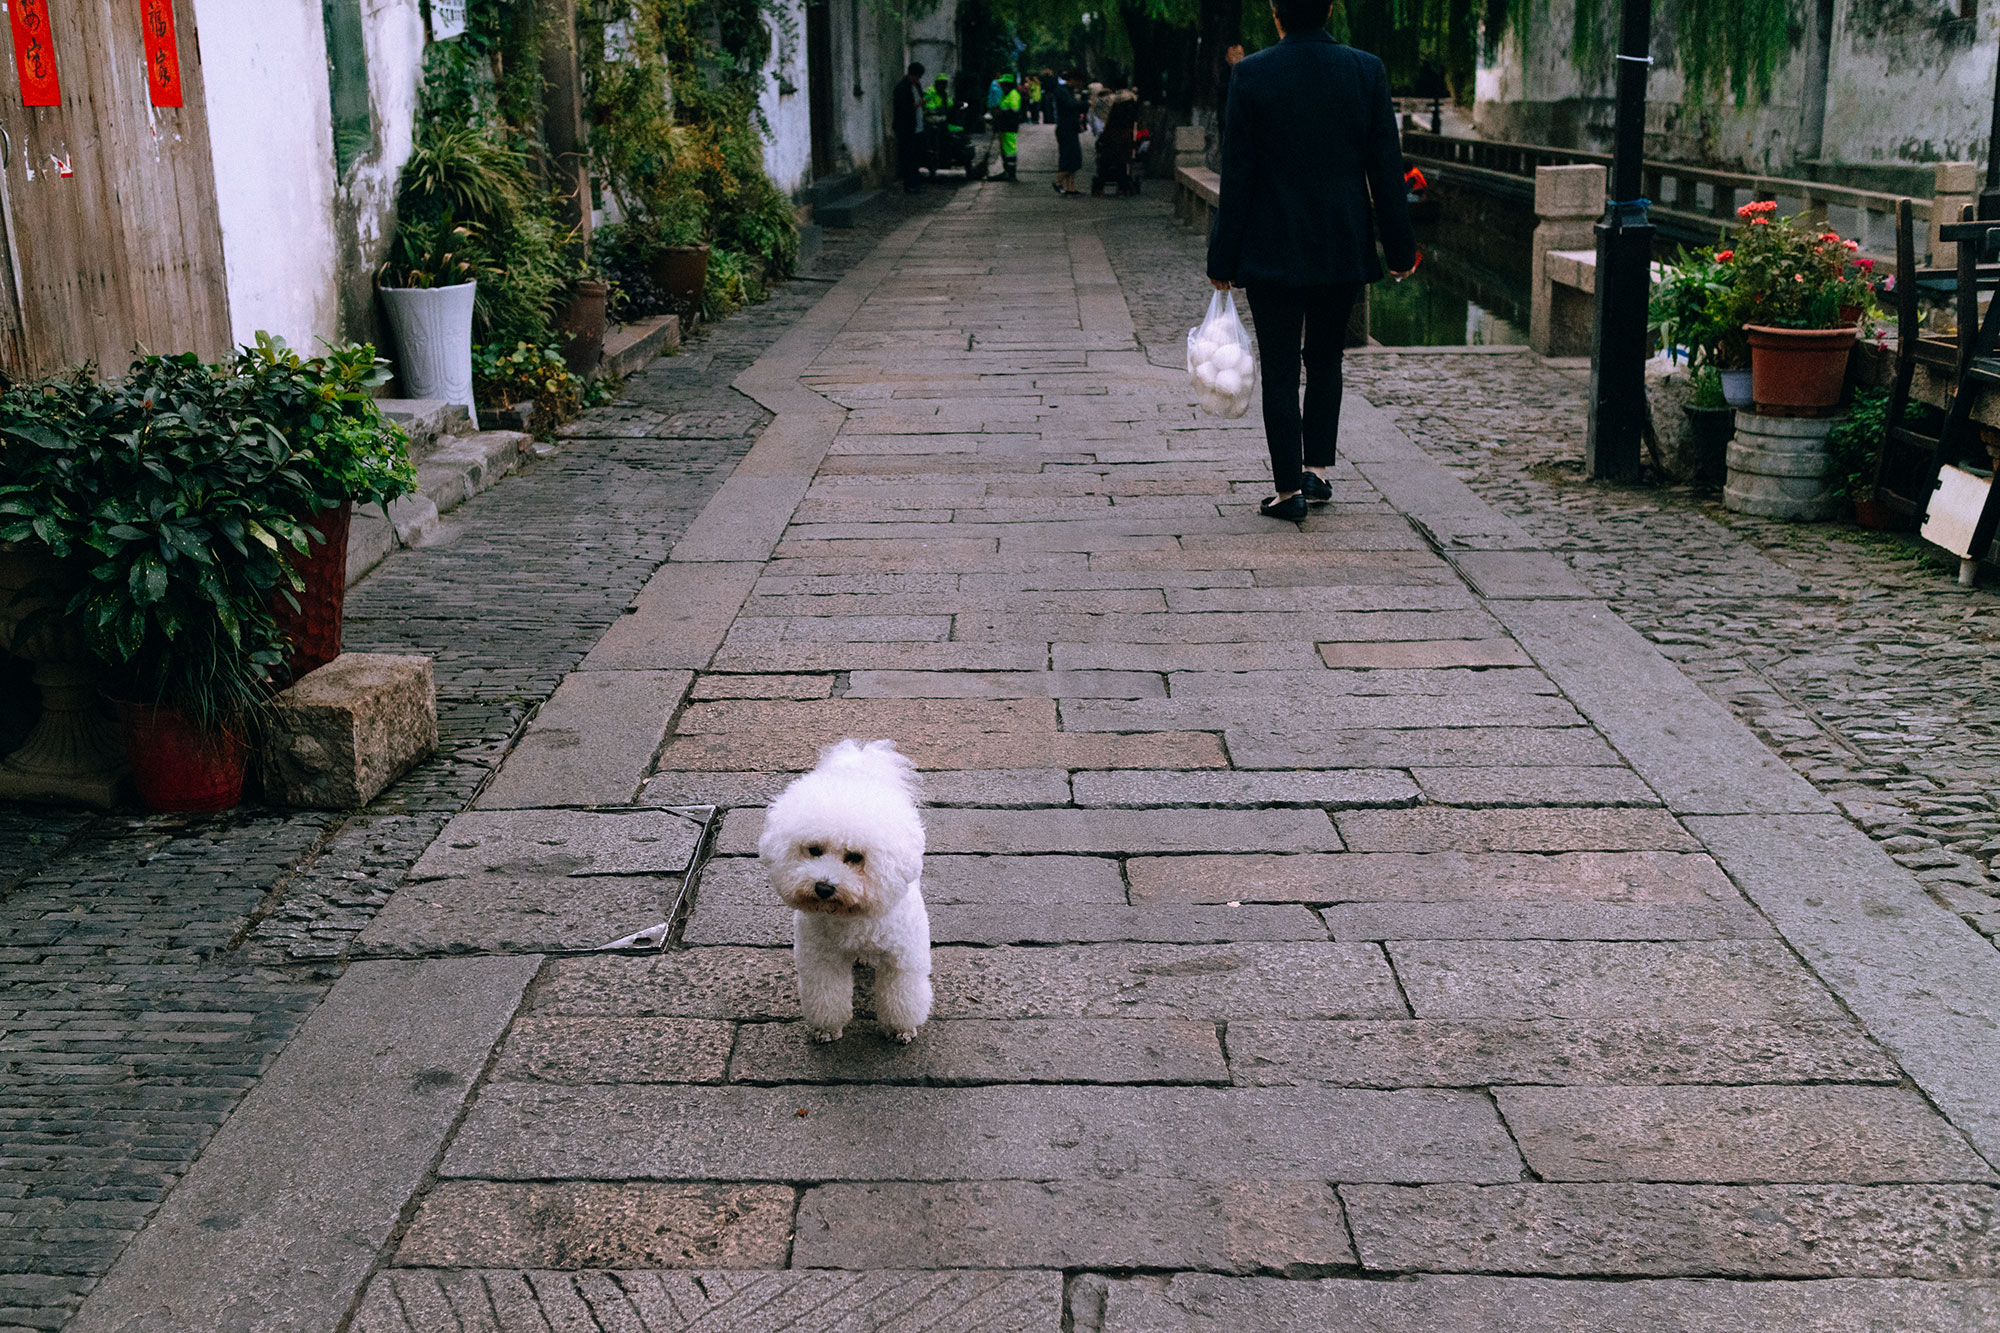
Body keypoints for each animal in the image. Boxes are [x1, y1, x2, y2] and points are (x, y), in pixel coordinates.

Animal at [756, 736, 928, 1040]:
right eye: (814, 850)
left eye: (855, 857)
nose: (824, 887)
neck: (851, 913)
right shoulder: (822, 959)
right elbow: (827, 995)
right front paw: (826, 1029)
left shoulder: (902, 958)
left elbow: (902, 996)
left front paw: (901, 1029)